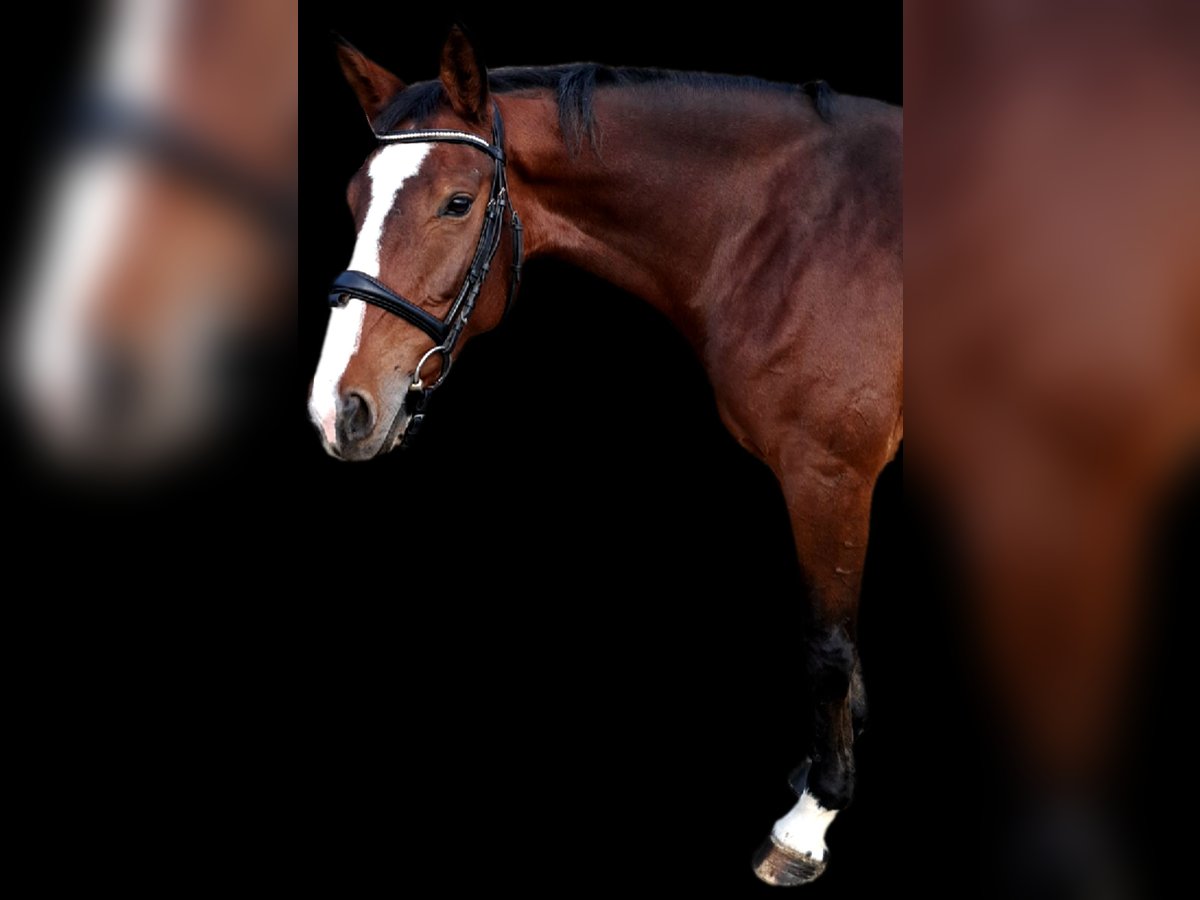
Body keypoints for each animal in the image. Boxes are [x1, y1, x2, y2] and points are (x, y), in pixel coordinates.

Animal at [308, 27, 902, 886]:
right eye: (356, 199)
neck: (803, 232)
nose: (336, 409)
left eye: (457, 203)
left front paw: (812, 816)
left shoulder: (830, 473)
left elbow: (825, 644)